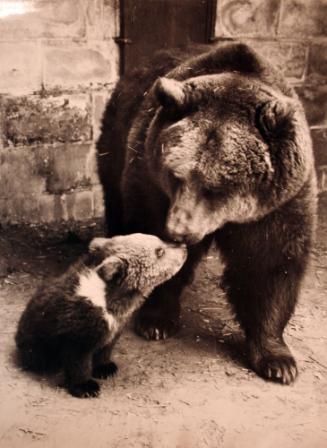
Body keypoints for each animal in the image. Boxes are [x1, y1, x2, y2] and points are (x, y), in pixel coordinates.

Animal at [97, 43, 318, 384]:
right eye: (176, 175)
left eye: (217, 186)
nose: (178, 230)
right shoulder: (151, 183)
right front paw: (156, 321)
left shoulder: (280, 203)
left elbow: (270, 266)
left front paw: (278, 361)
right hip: (117, 139)